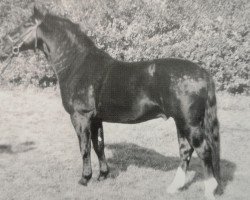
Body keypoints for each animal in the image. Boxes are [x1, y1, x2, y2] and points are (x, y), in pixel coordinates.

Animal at [0, 7, 219, 199]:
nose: (3, 47)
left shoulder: (81, 117)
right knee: (186, 150)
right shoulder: (96, 119)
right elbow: (99, 146)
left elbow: (85, 147)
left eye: (25, 25)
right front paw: (103, 175)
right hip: (181, 122)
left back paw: (209, 190)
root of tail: (203, 73)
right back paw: (174, 187)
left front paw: (84, 179)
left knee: (203, 150)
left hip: (189, 123)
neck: (77, 65)